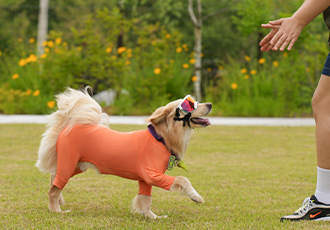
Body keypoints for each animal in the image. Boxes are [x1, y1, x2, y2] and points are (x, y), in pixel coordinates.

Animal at [35, 87, 211, 218]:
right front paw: (196, 197)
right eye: (192, 105)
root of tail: (69, 126)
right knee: (53, 189)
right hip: (69, 163)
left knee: (53, 177)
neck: (161, 139)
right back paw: (56, 210)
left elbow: (145, 199)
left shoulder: (145, 180)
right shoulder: (151, 175)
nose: (209, 104)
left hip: (78, 166)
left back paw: (59, 201)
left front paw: (151, 216)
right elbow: (182, 179)